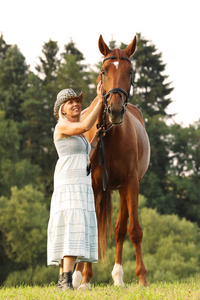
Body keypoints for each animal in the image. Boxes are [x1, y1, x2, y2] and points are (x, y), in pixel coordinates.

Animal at [72, 35, 149, 290]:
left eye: (130, 71)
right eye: (104, 71)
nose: (115, 109)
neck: (111, 135)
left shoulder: (130, 184)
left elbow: (132, 230)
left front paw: (142, 277)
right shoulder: (94, 186)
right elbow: (92, 228)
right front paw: (85, 279)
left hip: (122, 189)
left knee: (119, 229)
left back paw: (117, 276)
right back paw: (77, 276)